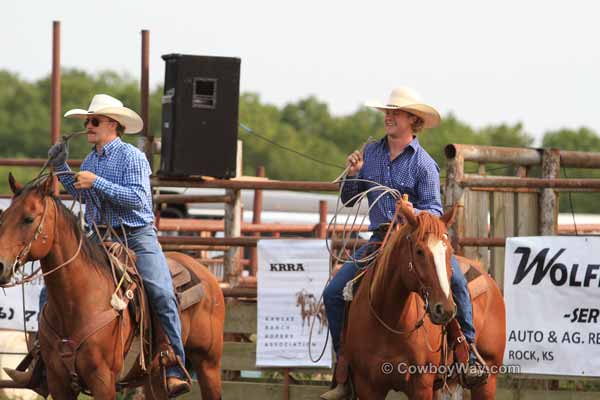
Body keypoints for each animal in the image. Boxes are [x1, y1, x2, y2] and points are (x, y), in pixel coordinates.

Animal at [0, 176, 224, 400]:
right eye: (3, 217)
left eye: (28, 219)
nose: (1, 265)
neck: (76, 301)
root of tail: (205, 273)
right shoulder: (58, 381)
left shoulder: (103, 380)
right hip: (154, 379)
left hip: (208, 364)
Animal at [342, 205, 506, 398]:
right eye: (419, 251)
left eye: (449, 251)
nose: (445, 310)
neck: (390, 324)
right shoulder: (367, 386)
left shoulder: (421, 385)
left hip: (488, 377)